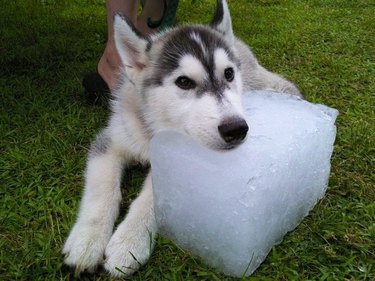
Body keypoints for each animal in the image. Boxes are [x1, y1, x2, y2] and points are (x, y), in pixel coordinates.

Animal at [62, 0, 302, 276]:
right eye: (184, 82)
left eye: (229, 74)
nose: (236, 129)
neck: (155, 132)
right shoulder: (110, 140)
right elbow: (102, 190)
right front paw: (86, 241)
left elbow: (151, 198)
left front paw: (128, 242)